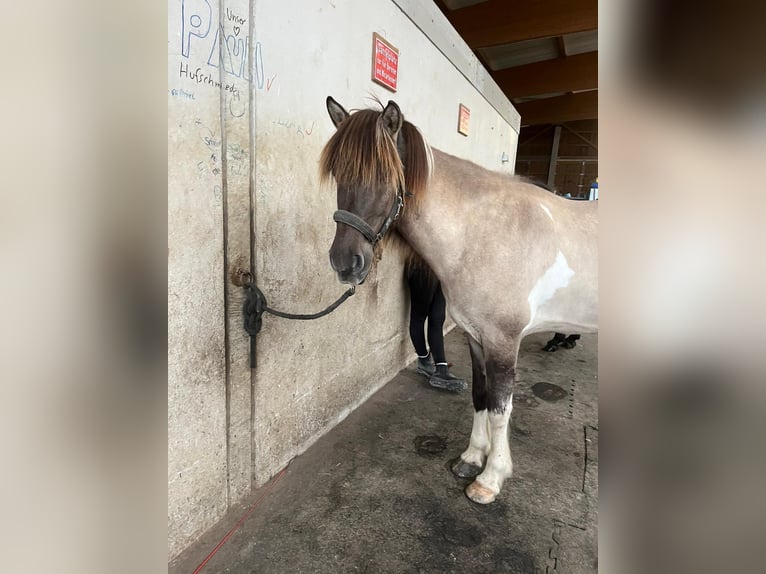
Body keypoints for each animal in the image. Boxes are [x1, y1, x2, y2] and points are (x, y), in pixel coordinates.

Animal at [318, 98, 600, 504]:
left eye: (386, 175)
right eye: (339, 173)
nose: (345, 263)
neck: (483, 232)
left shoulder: (503, 341)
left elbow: (500, 408)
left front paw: (490, 479)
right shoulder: (476, 336)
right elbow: (481, 397)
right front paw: (470, 459)